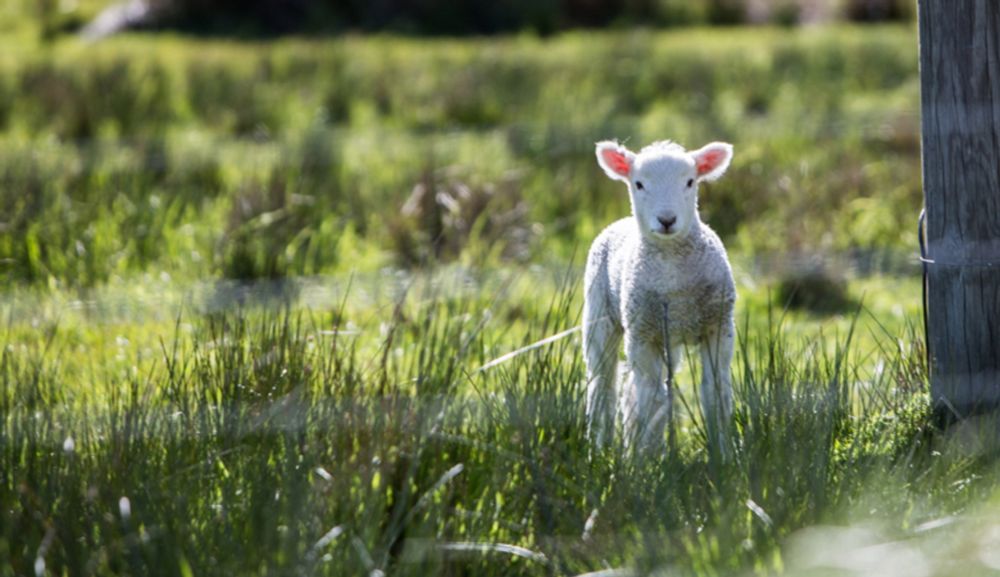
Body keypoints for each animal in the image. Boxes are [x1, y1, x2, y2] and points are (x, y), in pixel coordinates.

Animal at [584, 138, 736, 450]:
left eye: (690, 182)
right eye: (639, 184)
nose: (666, 220)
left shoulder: (718, 327)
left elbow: (715, 395)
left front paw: (723, 453)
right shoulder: (642, 335)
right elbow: (652, 402)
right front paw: (649, 457)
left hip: (669, 338)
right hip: (599, 314)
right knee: (603, 384)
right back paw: (600, 447)